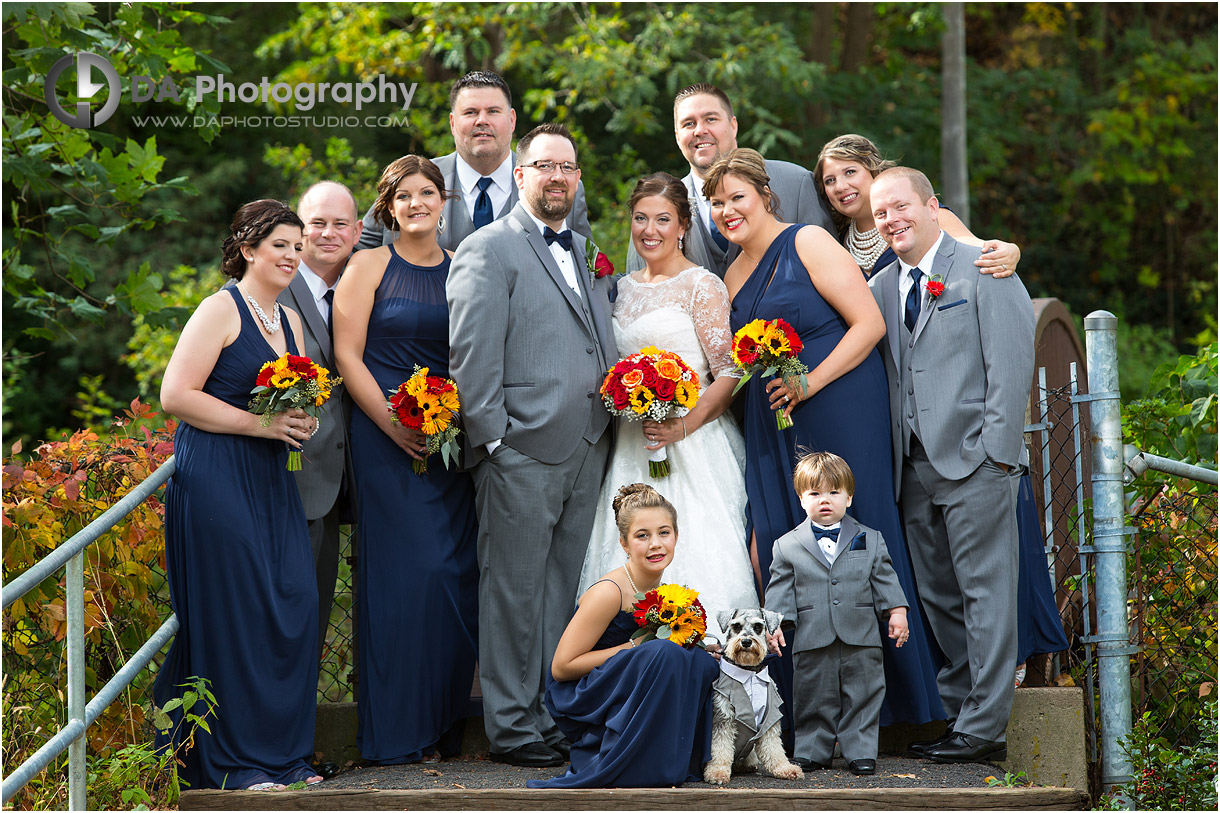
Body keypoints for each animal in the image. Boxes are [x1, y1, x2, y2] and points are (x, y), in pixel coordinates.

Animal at [702, 605, 805, 781]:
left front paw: (784, 768)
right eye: (736, 626)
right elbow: (720, 748)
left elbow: (774, 747)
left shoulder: (770, 719)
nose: (746, 642)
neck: (749, 672)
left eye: (758, 626)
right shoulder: (723, 718)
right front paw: (717, 772)